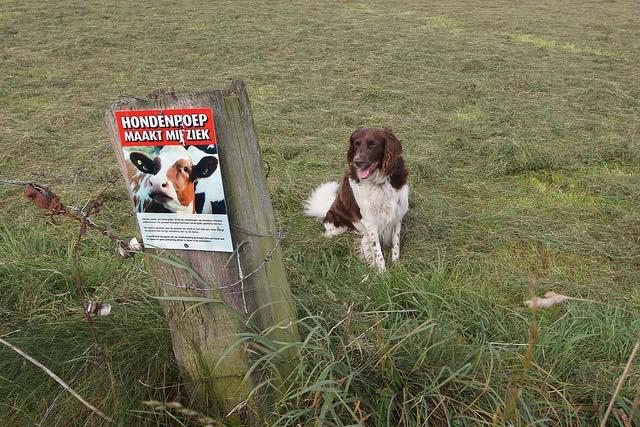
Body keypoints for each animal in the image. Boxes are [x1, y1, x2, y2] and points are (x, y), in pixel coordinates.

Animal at [306, 127, 410, 270]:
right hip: (335, 222)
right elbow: (377, 251)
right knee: (330, 232)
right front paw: (382, 272)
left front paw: (396, 265)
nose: (357, 162)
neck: (378, 182)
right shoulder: (370, 221)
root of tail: (328, 209)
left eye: (372, 144)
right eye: (356, 144)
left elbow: (396, 243)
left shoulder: (397, 214)